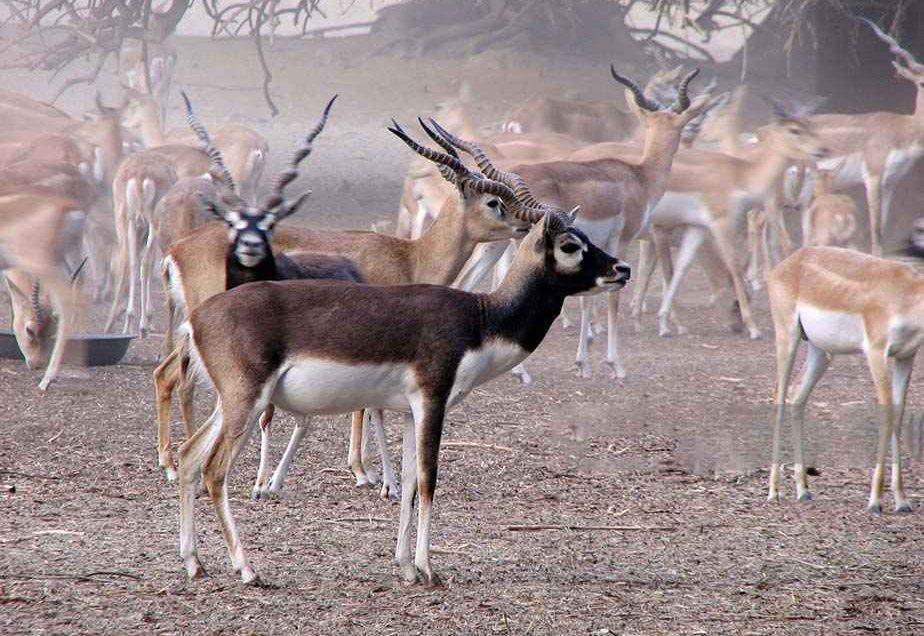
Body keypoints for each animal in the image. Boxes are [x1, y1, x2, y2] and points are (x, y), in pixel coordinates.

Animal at [177, 179, 632, 588]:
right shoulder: (433, 400)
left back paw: (195, 564)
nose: (621, 269)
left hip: (230, 403)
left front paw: (406, 567)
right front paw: (429, 570)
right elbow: (429, 480)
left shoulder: (413, 411)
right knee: (214, 470)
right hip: (247, 401)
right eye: (570, 245)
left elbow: (410, 482)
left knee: (188, 456)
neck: (482, 318)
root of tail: (197, 318)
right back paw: (247, 570)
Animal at [764, 246, 916, 516]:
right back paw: (774, 493)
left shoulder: (906, 356)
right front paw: (875, 502)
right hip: (787, 338)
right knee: (778, 397)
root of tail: (792, 260)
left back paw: (803, 491)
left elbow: (898, 415)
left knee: (797, 399)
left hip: (821, 352)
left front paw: (902, 501)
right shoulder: (876, 352)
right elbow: (886, 414)